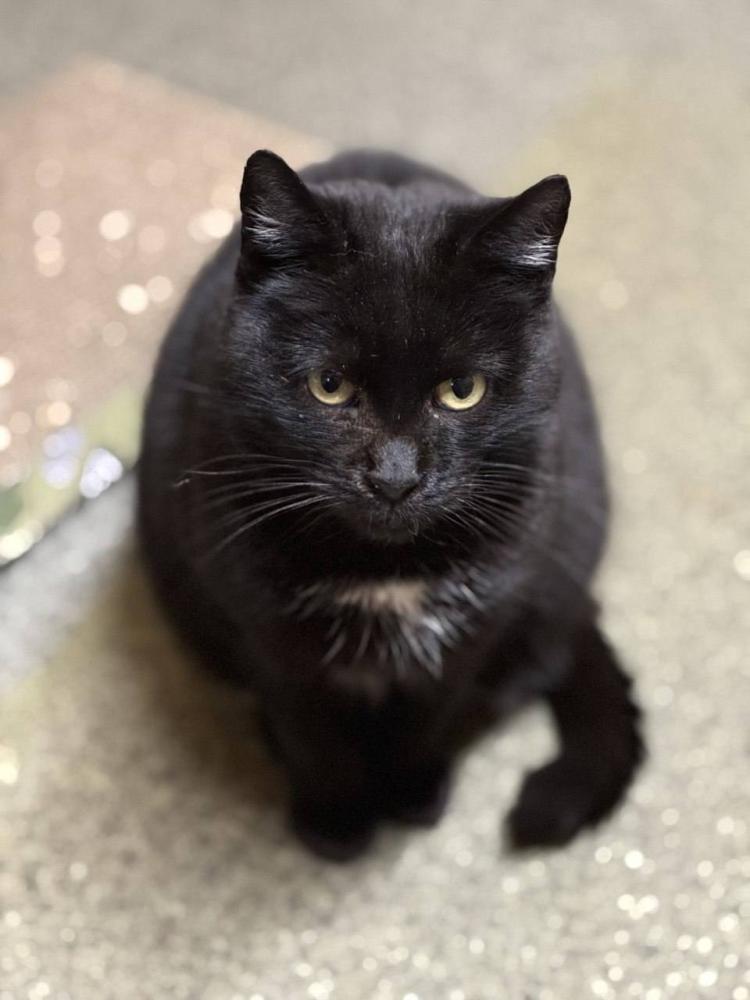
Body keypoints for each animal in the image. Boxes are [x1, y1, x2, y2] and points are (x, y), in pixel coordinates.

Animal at [138, 148, 643, 860]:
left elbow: (432, 713)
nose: (396, 477)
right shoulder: (264, 627)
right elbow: (309, 726)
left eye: (463, 390)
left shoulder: (477, 621)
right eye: (329, 384)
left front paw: (412, 791)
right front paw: (335, 819)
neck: (385, 572)